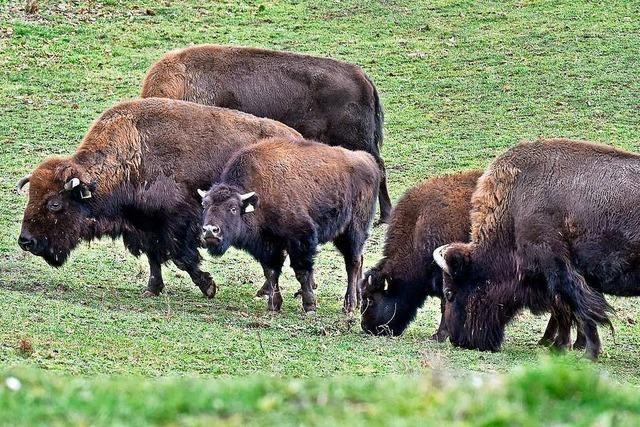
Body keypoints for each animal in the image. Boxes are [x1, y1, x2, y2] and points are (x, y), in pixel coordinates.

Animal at [16, 98, 302, 298]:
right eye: (31, 196)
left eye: (54, 203)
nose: (25, 241)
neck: (132, 155)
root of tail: (296, 137)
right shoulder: (146, 226)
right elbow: (154, 257)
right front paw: (152, 288)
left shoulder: (178, 225)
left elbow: (182, 258)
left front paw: (208, 286)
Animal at [200, 137, 380, 314]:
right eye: (205, 205)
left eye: (233, 208)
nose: (210, 231)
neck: (259, 196)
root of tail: (368, 160)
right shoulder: (268, 245)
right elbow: (271, 272)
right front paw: (273, 306)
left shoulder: (301, 239)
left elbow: (301, 272)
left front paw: (309, 306)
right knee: (359, 260)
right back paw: (358, 301)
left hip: (354, 230)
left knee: (352, 263)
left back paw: (349, 305)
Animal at [430, 139, 636, 360]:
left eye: (449, 293)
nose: (457, 340)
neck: (515, 208)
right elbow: (569, 310)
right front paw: (560, 347)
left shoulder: (559, 269)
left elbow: (582, 310)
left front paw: (588, 354)